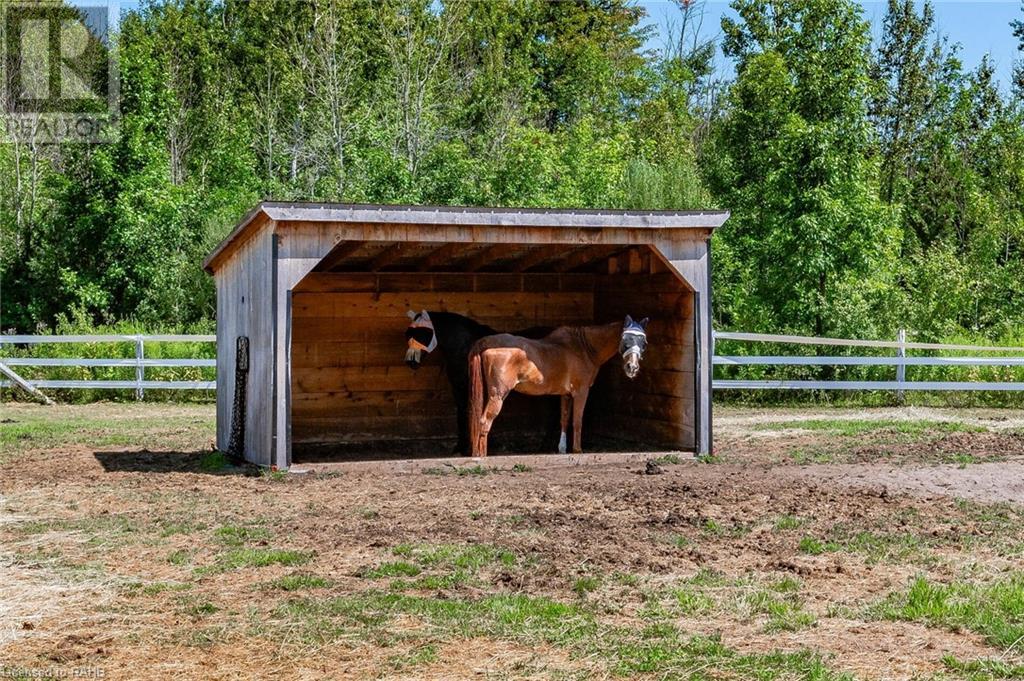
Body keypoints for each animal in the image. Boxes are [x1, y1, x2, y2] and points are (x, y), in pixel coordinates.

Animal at [405, 311, 552, 454]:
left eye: (423, 333)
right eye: (408, 334)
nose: (410, 361)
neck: (465, 346)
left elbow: (472, 412)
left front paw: (470, 446)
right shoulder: (458, 388)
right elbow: (462, 413)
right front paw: (462, 447)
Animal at [466, 315, 643, 456]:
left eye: (644, 341)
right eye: (625, 340)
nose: (632, 368)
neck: (583, 348)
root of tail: (485, 341)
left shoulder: (566, 394)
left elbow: (564, 419)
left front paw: (562, 449)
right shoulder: (581, 392)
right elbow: (577, 420)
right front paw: (577, 450)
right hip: (498, 395)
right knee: (484, 421)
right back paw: (481, 455)